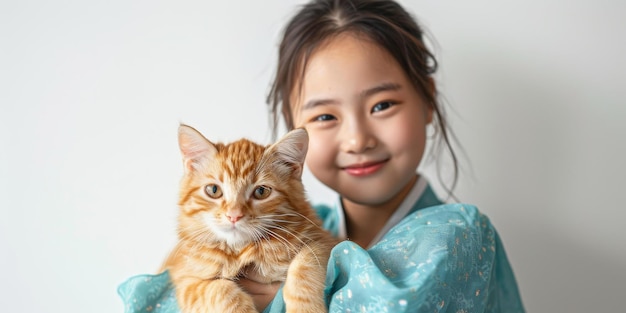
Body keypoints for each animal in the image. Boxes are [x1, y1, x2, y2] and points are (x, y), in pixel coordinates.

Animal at [161, 124, 336, 312]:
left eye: (261, 191)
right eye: (214, 190)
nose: (234, 215)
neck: (240, 250)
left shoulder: (325, 241)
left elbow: (305, 264)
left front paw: (305, 308)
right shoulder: (185, 282)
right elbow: (220, 289)